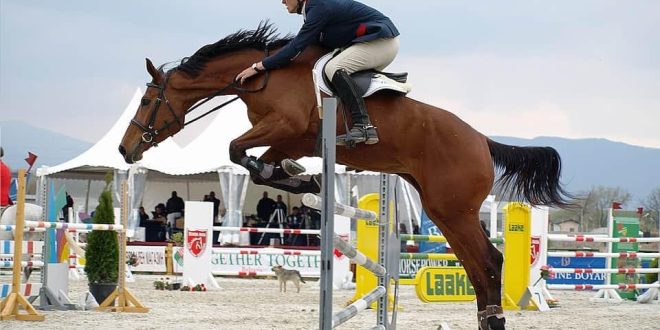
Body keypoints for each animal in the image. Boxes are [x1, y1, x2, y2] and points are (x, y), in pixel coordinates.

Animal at [120, 23, 572, 330]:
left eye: (146, 100)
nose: (126, 150)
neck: (262, 77)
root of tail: (482, 140)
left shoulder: (283, 126)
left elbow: (235, 150)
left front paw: (301, 180)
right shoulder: (289, 139)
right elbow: (261, 166)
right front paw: (303, 180)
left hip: (452, 209)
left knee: (489, 261)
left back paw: (493, 319)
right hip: (444, 211)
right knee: (479, 265)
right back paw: (487, 318)